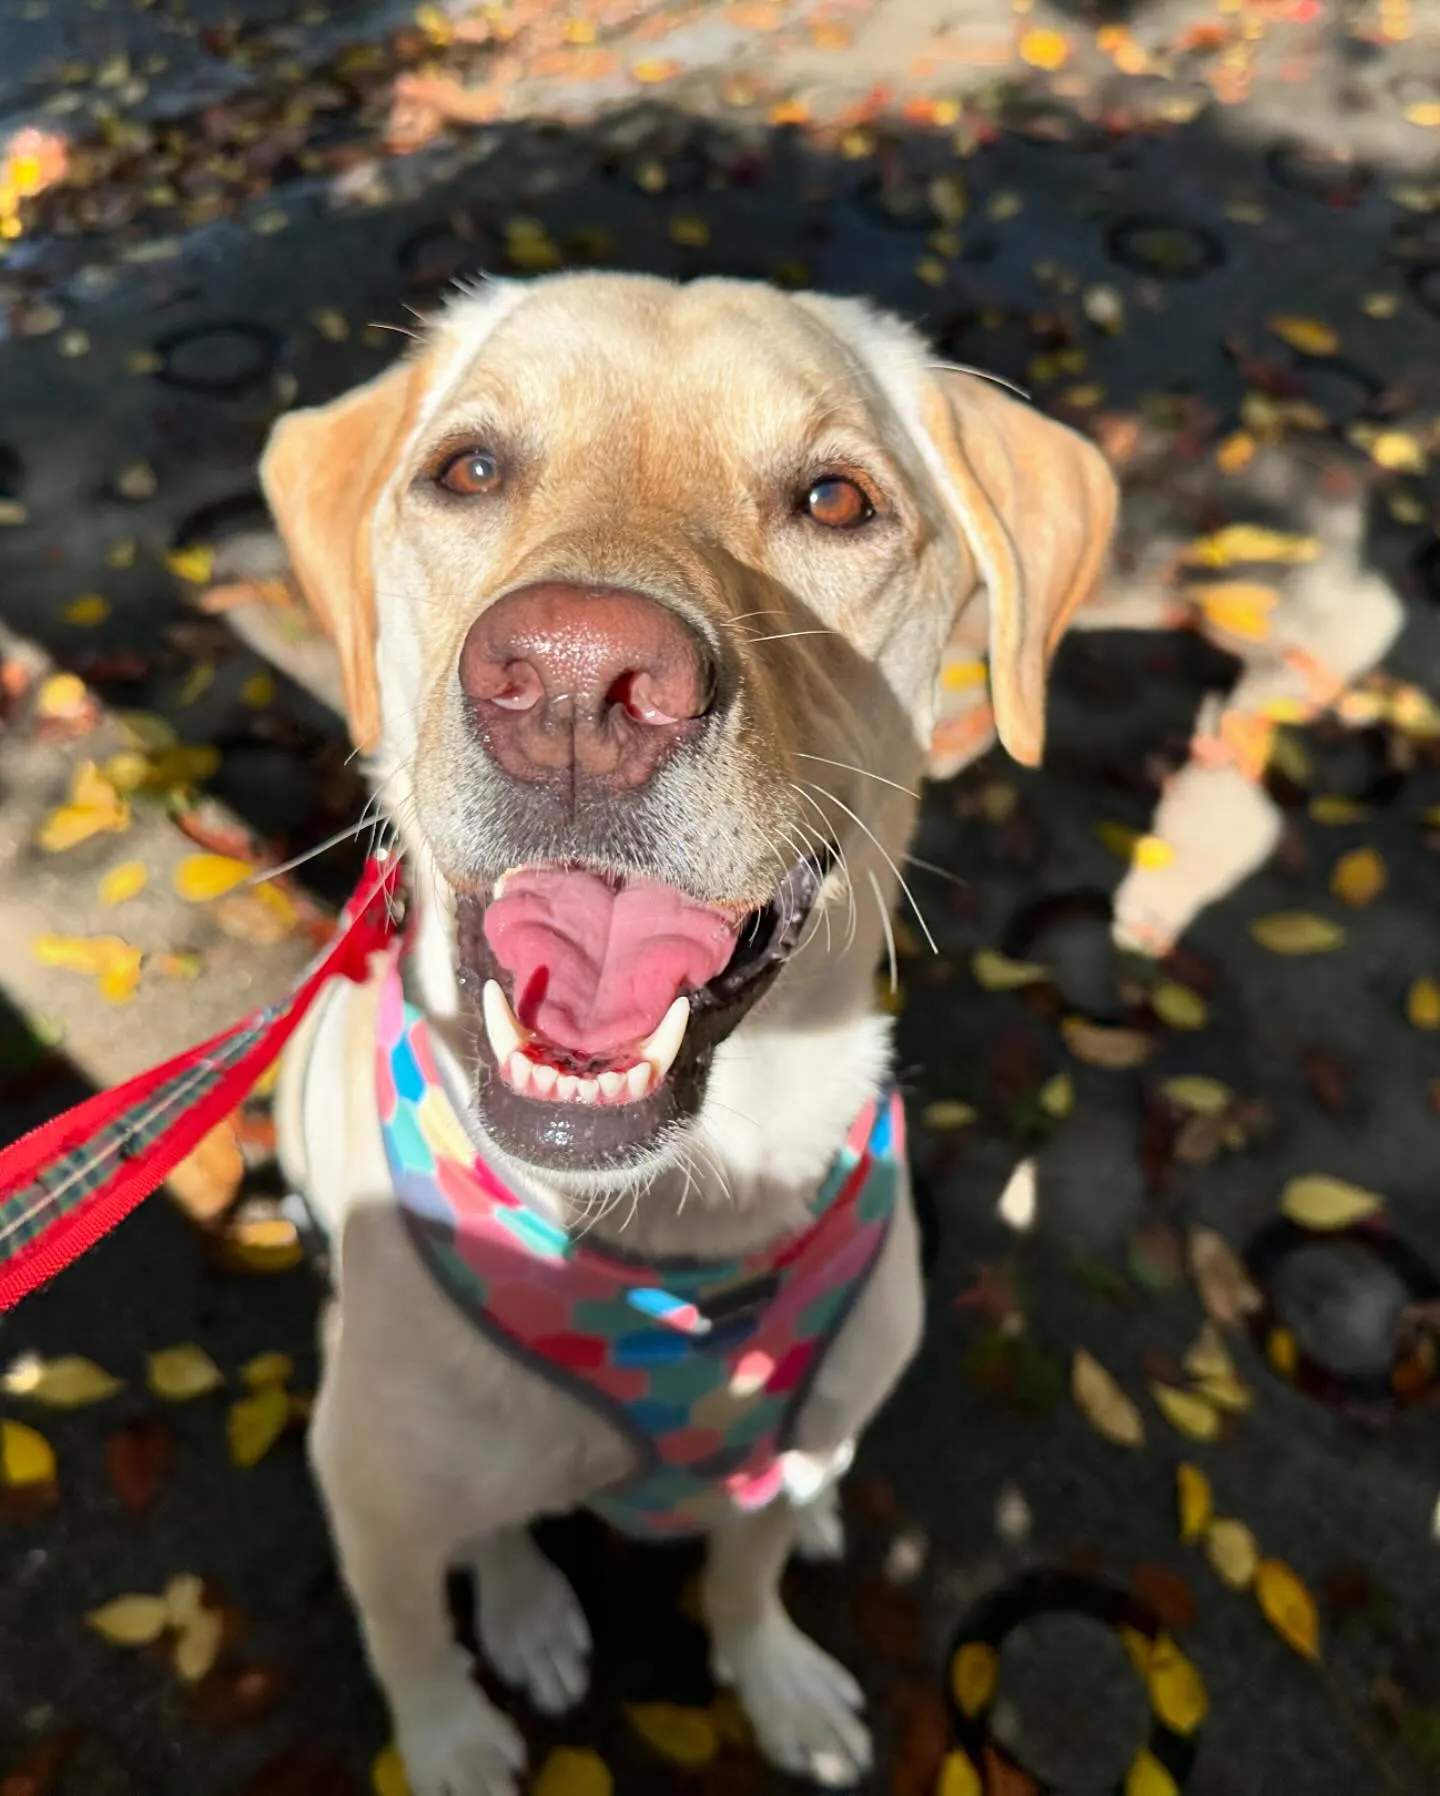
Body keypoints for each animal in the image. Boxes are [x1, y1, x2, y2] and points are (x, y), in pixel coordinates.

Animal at [258, 269, 1113, 1796]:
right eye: (468, 470)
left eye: (836, 498)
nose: (573, 683)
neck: (670, 1229)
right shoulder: (367, 1495)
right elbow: (412, 1637)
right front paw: (451, 1738)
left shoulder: (773, 1457)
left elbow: (746, 1573)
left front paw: (775, 1679)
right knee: (495, 1529)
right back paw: (528, 1612)